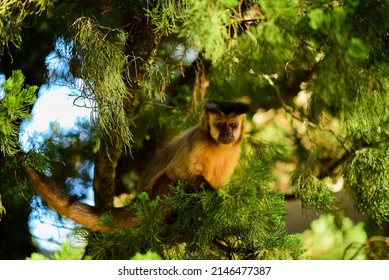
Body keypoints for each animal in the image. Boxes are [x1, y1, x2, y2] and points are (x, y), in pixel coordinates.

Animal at [23, 100, 249, 232]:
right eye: (220, 125)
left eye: (232, 125)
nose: (227, 133)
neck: (216, 145)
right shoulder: (198, 140)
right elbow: (179, 173)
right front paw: (216, 197)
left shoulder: (234, 151)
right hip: (156, 200)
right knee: (172, 180)